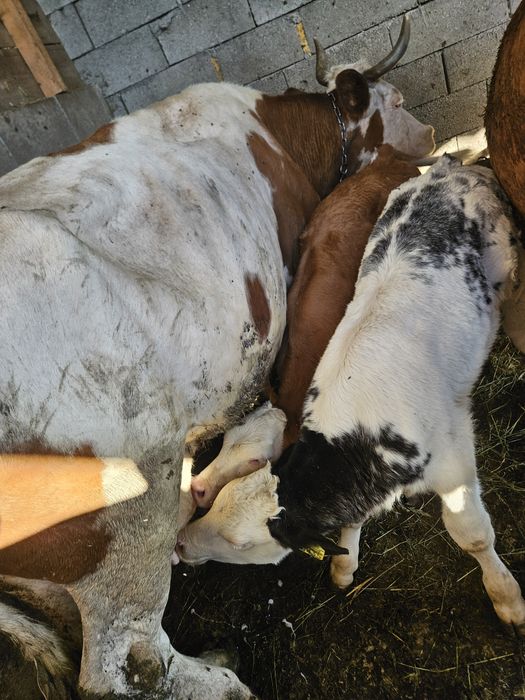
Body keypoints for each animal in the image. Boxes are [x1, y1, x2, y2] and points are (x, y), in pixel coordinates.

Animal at [0, 18, 434, 698]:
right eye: (394, 99)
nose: (432, 136)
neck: (279, 135)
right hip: (121, 527)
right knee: (126, 667)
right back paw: (225, 677)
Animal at [176, 156, 525, 634]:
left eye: (241, 543)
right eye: (225, 446)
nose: (181, 543)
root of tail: (453, 166)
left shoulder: (454, 461)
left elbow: (473, 535)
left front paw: (506, 596)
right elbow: (353, 522)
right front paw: (345, 566)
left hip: (508, 260)